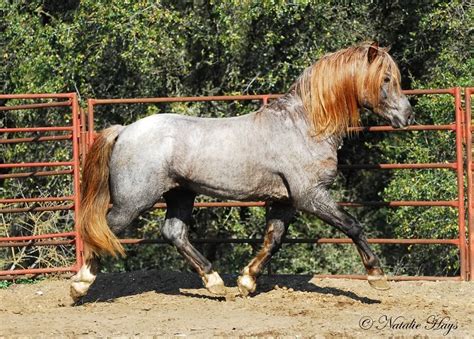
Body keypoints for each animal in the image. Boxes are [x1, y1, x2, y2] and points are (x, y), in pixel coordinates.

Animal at [69, 41, 412, 300]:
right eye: (385, 79)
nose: (406, 115)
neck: (304, 125)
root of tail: (125, 130)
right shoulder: (310, 195)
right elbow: (353, 226)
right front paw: (377, 276)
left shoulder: (286, 201)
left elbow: (273, 239)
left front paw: (247, 281)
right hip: (134, 202)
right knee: (103, 228)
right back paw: (80, 284)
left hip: (180, 193)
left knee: (174, 232)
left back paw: (215, 282)